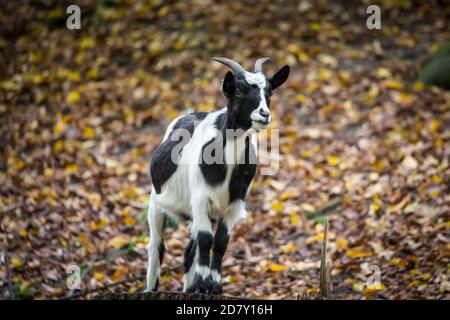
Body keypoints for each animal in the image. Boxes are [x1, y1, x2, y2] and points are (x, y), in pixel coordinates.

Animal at [146, 57, 290, 292]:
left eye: (269, 93)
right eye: (238, 92)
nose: (264, 114)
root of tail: (188, 114)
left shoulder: (234, 204)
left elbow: (221, 242)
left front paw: (213, 284)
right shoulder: (200, 198)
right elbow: (206, 239)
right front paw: (205, 283)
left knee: (189, 250)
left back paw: (190, 288)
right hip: (156, 202)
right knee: (156, 246)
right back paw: (152, 287)